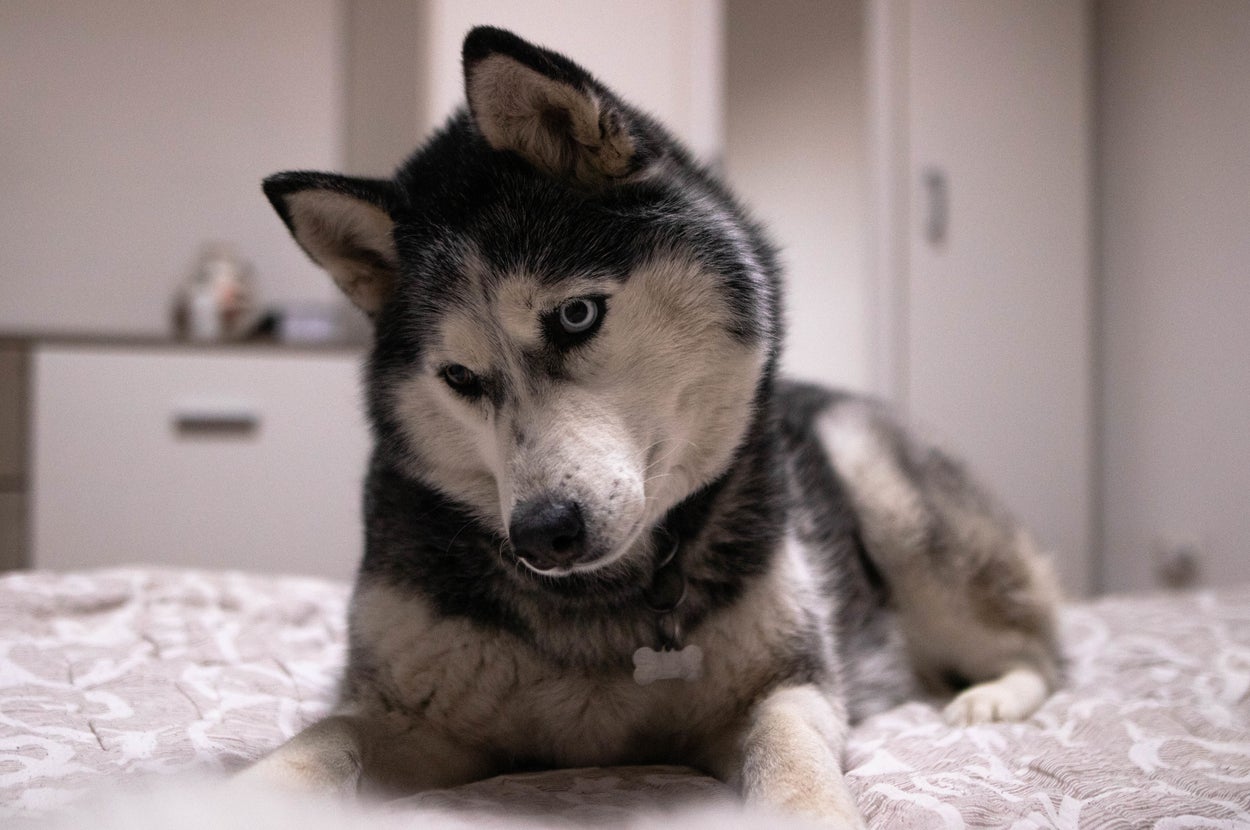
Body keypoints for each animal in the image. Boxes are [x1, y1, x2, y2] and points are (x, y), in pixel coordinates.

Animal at [242, 26, 1061, 827]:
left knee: (1045, 653)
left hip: (890, 496)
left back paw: (988, 698)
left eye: (576, 315)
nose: (542, 532)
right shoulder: (420, 721)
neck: (601, 605)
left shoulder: (784, 687)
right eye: (459, 379)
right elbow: (320, 743)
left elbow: (790, 759)